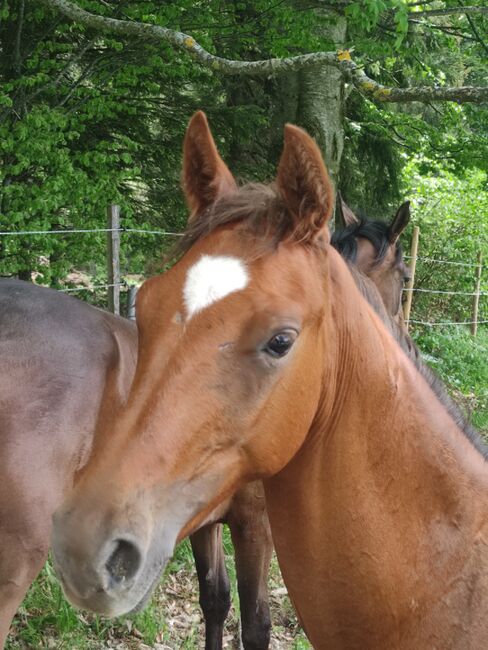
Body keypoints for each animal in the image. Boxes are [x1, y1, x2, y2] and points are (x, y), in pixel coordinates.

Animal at [51, 112, 488, 648]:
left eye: (281, 340)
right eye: (145, 305)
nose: (83, 547)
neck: (451, 578)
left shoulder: (243, 524)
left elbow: (248, 619)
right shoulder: (214, 520)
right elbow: (219, 602)